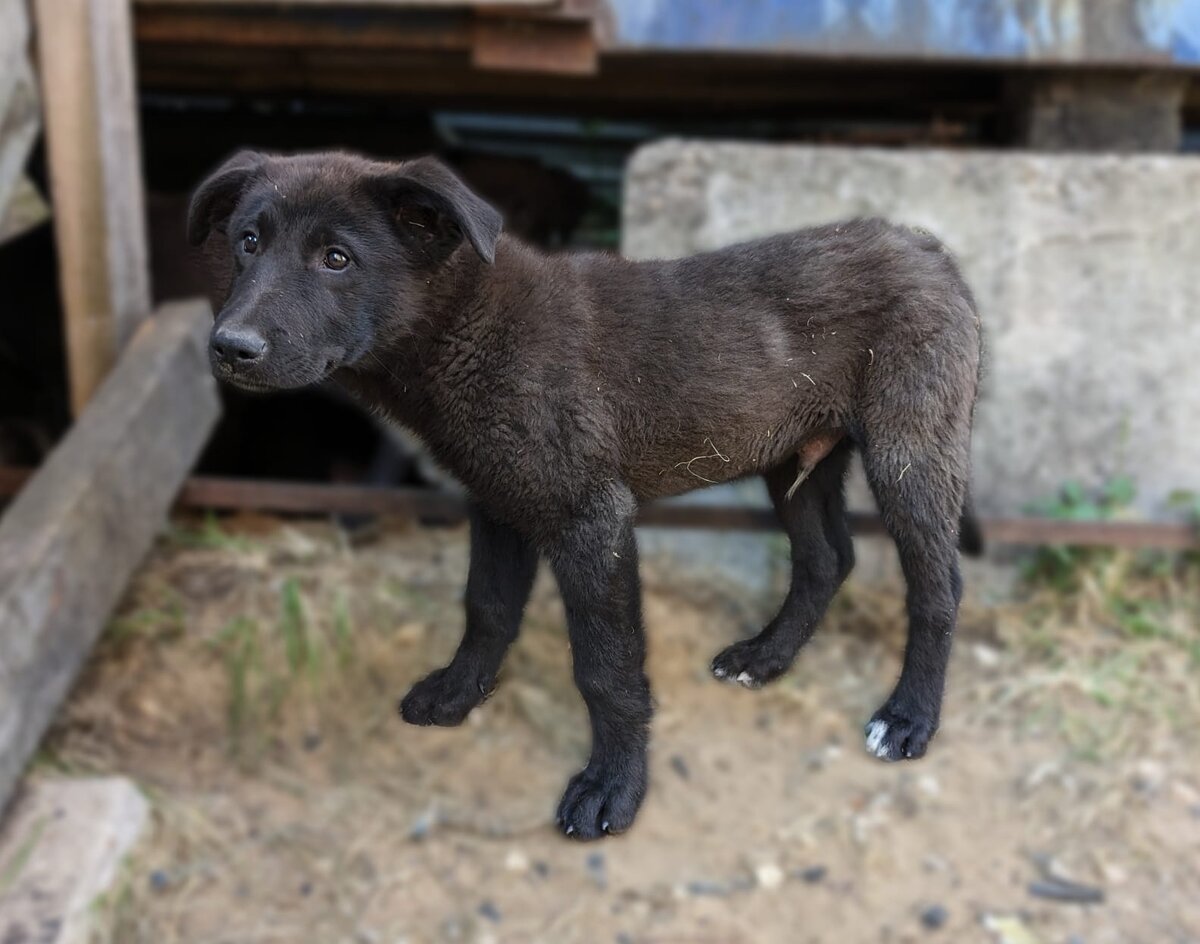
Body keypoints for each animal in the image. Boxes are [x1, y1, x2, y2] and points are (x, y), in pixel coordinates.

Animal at [192, 152, 984, 839]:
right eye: (247, 242)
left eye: (337, 258)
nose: (230, 348)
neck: (469, 327)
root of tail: (929, 248)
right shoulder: (497, 500)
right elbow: (486, 608)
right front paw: (458, 694)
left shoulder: (589, 517)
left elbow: (605, 670)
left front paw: (612, 788)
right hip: (796, 455)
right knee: (827, 559)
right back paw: (765, 657)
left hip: (910, 448)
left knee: (938, 586)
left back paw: (908, 717)